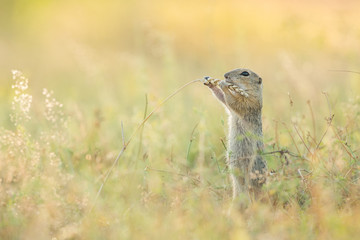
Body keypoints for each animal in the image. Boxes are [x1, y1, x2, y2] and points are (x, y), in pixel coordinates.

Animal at [202, 68, 268, 202]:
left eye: (245, 73)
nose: (225, 75)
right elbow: (224, 99)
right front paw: (211, 83)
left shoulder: (250, 102)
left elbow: (236, 102)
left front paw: (223, 85)